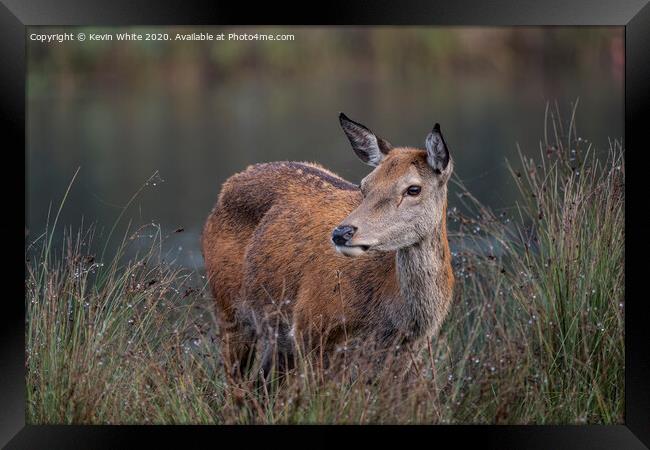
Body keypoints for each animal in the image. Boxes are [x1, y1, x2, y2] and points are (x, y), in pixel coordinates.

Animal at [200, 114, 454, 382]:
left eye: (414, 189)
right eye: (364, 186)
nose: (341, 233)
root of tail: (227, 186)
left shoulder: (406, 351)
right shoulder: (310, 326)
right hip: (228, 308)